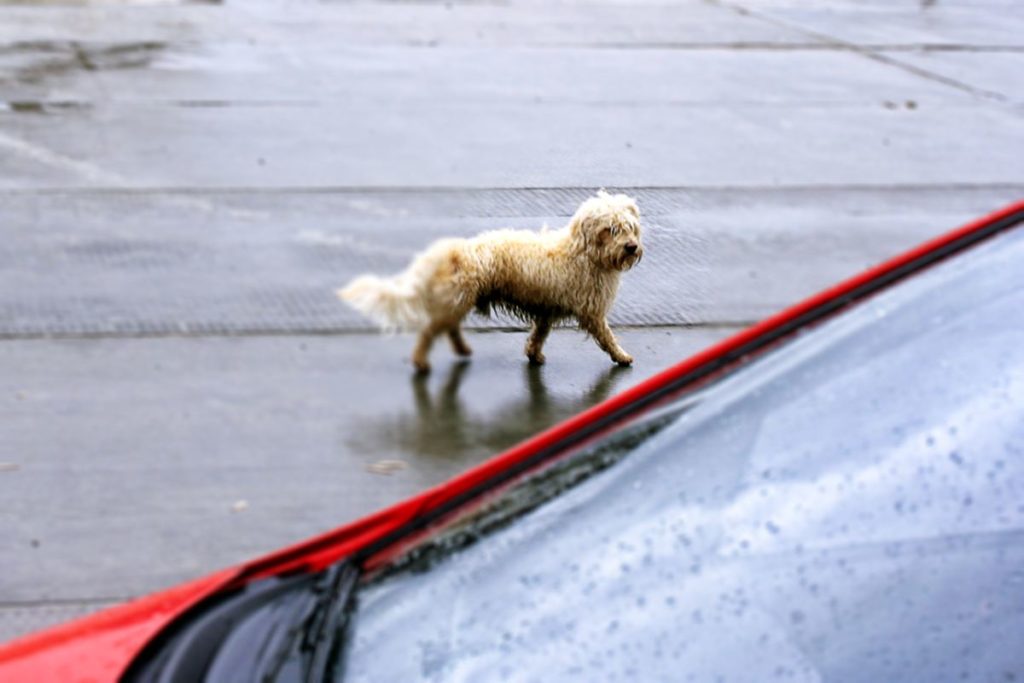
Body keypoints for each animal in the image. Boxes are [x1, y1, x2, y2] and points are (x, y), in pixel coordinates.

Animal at [337, 189, 638, 374]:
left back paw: (461, 349)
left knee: (449, 329)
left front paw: (534, 354)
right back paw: (421, 361)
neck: (583, 253)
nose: (632, 247)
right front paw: (621, 356)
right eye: (610, 229)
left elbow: (538, 336)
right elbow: (607, 337)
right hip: (456, 302)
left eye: (630, 228)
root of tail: (451, 251)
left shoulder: (547, 311)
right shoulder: (592, 313)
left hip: (457, 301)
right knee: (430, 332)